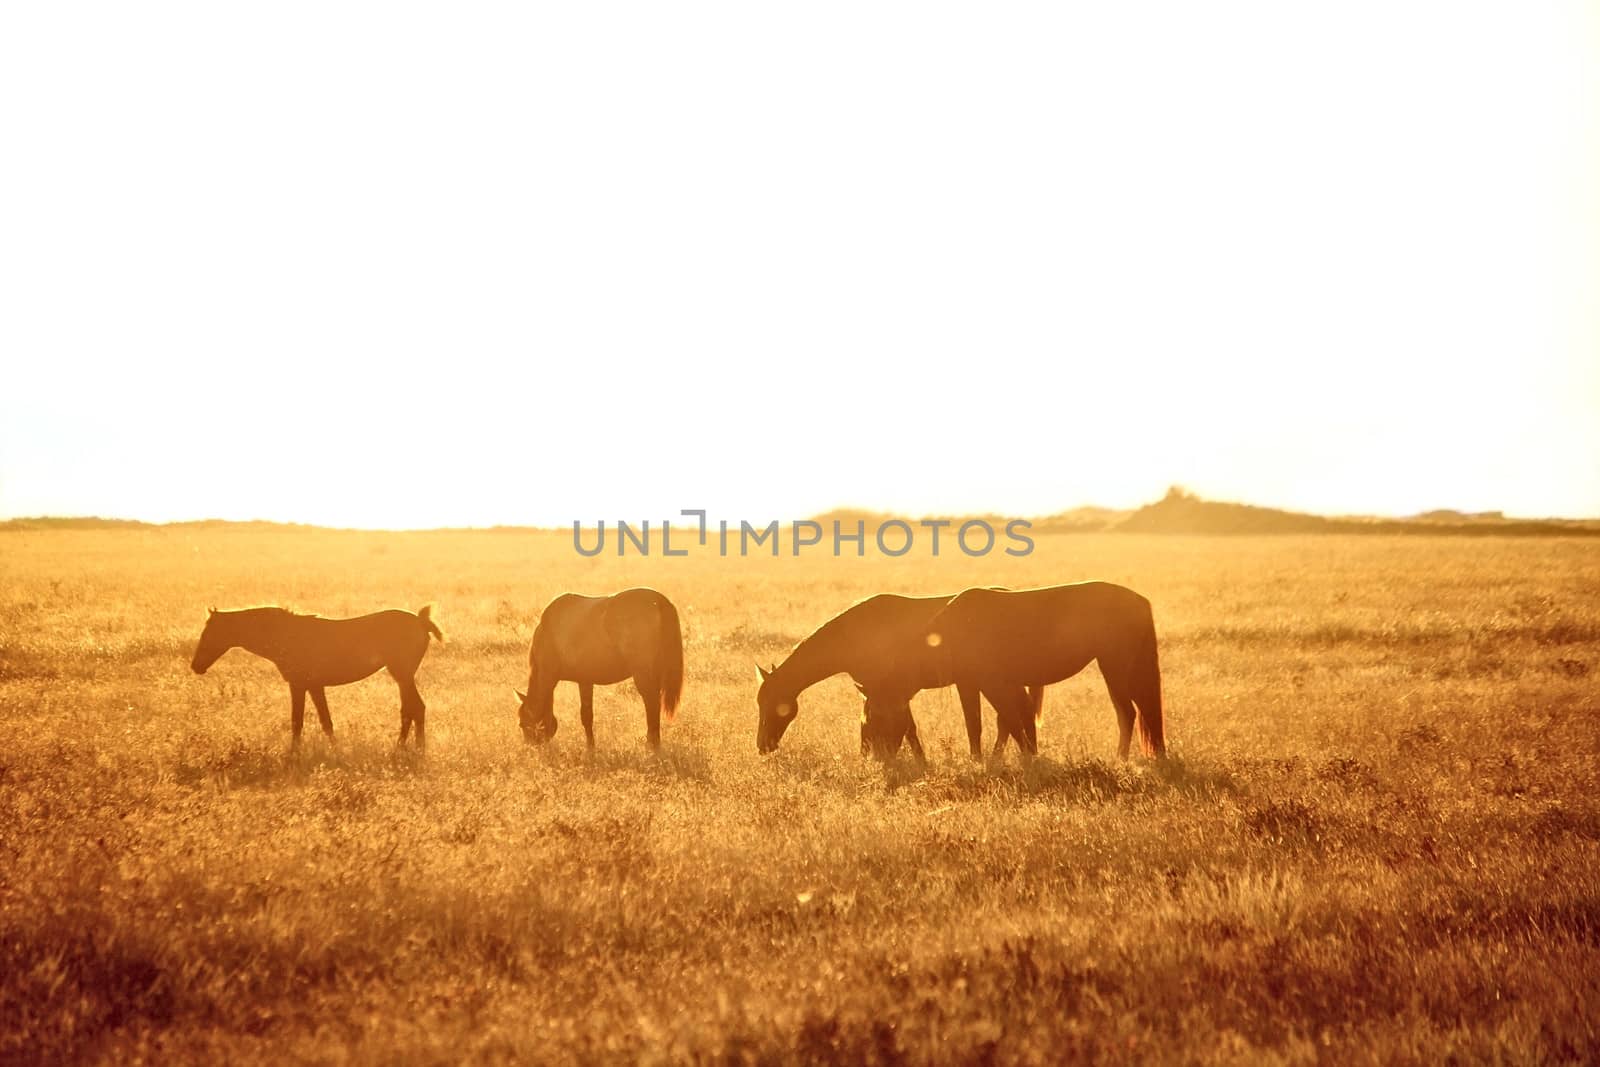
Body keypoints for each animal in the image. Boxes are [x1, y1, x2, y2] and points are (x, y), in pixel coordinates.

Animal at [192, 604, 444, 748]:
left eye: (209, 632)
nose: (196, 666)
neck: (285, 634)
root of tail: (421, 620)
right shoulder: (314, 686)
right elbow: (326, 722)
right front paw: (335, 750)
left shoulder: (298, 684)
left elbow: (297, 721)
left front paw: (294, 755)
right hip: (402, 677)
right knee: (410, 710)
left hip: (402, 675)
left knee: (415, 708)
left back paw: (409, 749)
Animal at [515, 588, 684, 755]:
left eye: (522, 724)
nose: (530, 749)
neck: (548, 633)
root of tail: (659, 601)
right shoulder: (585, 681)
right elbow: (588, 715)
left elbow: (585, 716)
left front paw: (590, 749)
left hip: (643, 675)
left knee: (651, 704)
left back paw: (651, 745)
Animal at [870, 585, 1171, 758]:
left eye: (878, 718)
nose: (880, 758)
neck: (950, 631)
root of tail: (1140, 601)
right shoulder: (974, 683)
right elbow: (990, 723)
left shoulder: (993, 683)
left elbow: (1008, 720)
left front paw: (1019, 759)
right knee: (1140, 711)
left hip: (1115, 664)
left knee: (1130, 712)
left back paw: (1121, 760)